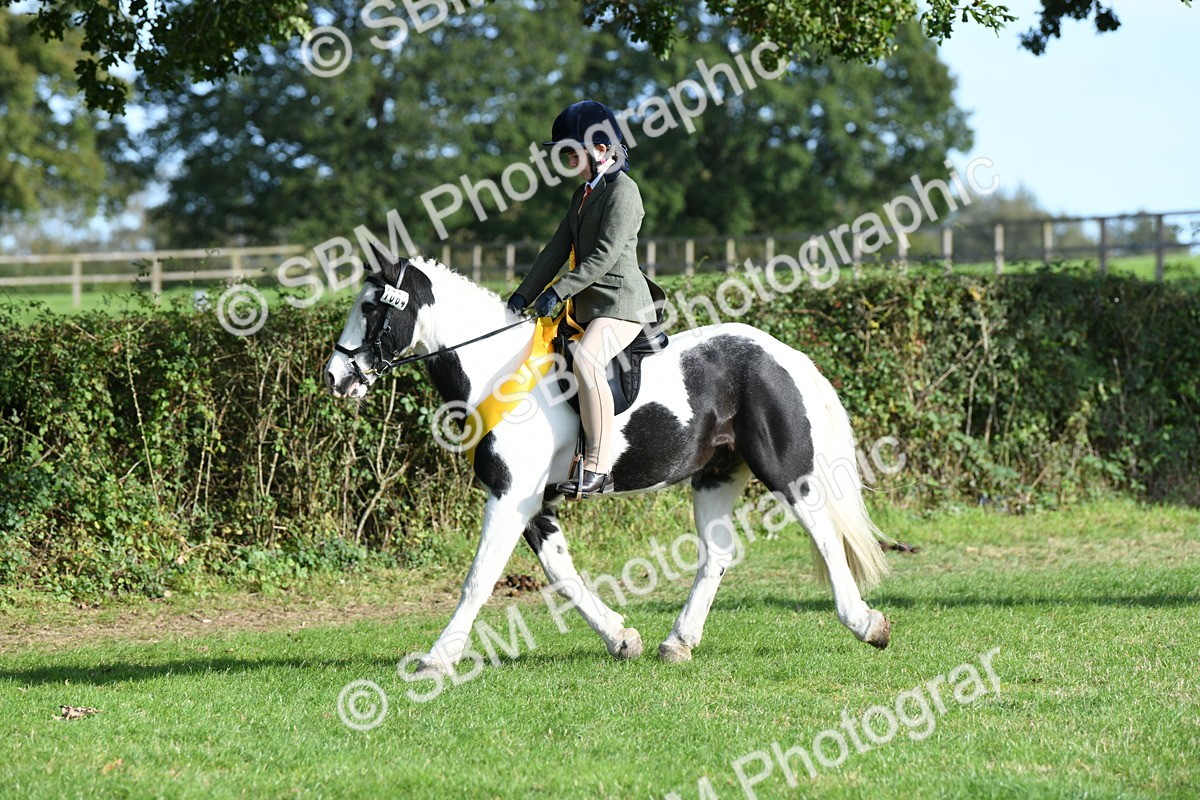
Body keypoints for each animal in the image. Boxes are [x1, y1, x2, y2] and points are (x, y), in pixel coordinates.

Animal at [323, 251, 892, 675]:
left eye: (372, 307)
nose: (334, 376)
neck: (497, 372)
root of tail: (784, 355)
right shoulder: (534, 503)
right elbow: (562, 574)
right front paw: (621, 638)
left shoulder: (510, 494)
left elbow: (479, 578)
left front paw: (437, 660)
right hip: (714, 477)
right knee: (716, 556)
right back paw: (677, 643)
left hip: (786, 473)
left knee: (824, 535)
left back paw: (866, 624)